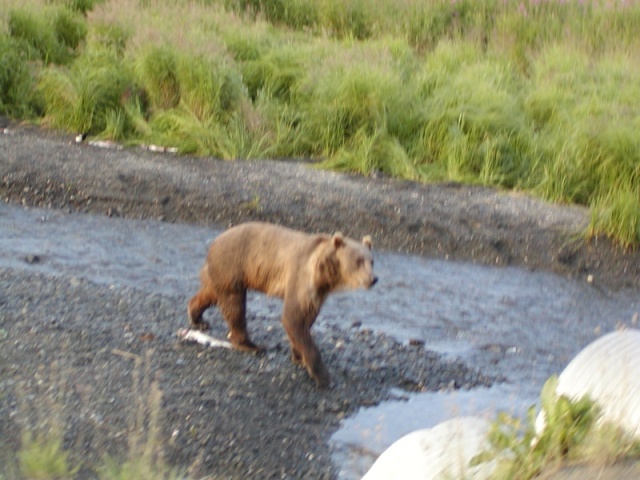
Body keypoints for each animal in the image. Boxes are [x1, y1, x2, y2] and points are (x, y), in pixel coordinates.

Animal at [186, 223, 376, 388]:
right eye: (359, 260)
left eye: (372, 261)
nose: (373, 278)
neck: (325, 274)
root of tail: (214, 242)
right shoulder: (301, 276)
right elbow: (293, 317)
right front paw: (322, 375)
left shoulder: (318, 292)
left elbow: (306, 318)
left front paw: (298, 355)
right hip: (233, 264)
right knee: (234, 305)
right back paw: (250, 345)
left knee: (212, 293)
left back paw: (197, 317)